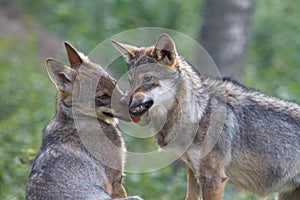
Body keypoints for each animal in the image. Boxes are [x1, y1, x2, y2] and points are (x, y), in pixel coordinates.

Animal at [111, 34, 300, 200]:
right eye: (130, 81)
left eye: (147, 79)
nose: (122, 102)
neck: (197, 113)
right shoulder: (192, 171)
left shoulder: (213, 178)